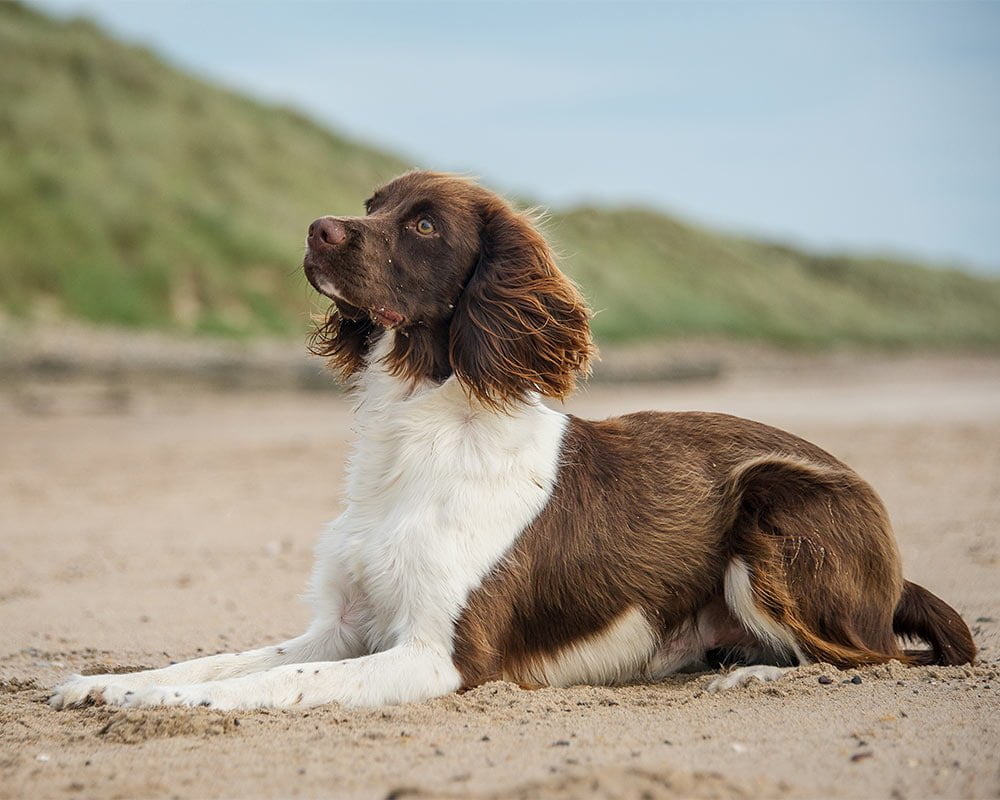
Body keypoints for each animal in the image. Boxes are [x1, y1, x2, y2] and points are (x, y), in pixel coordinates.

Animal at [50, 172, 972, 708]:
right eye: (373, 205)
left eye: (424, 226)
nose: (316, 228)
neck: (415, 434)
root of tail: (894, 564)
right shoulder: (342, 626)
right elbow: (226, 662)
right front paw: (108, 684)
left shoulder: (438, 655)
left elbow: (277, 683)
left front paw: (156, 707)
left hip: (773, 499)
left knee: (876, 657)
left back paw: (757, 672)